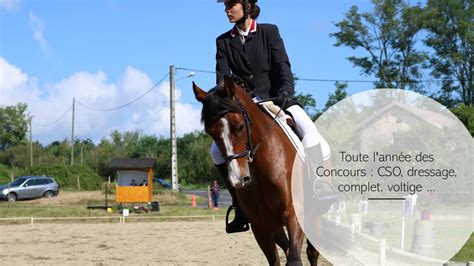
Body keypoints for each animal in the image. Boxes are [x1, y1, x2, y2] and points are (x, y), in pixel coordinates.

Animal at [193, 75, 318, 266]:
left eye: (239, 126)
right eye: (210, 133)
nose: (238, 179)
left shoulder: (294, 215)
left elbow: (295, 260)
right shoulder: (261, 227)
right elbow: (276, 260)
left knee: (312, 252)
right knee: (288, 248)